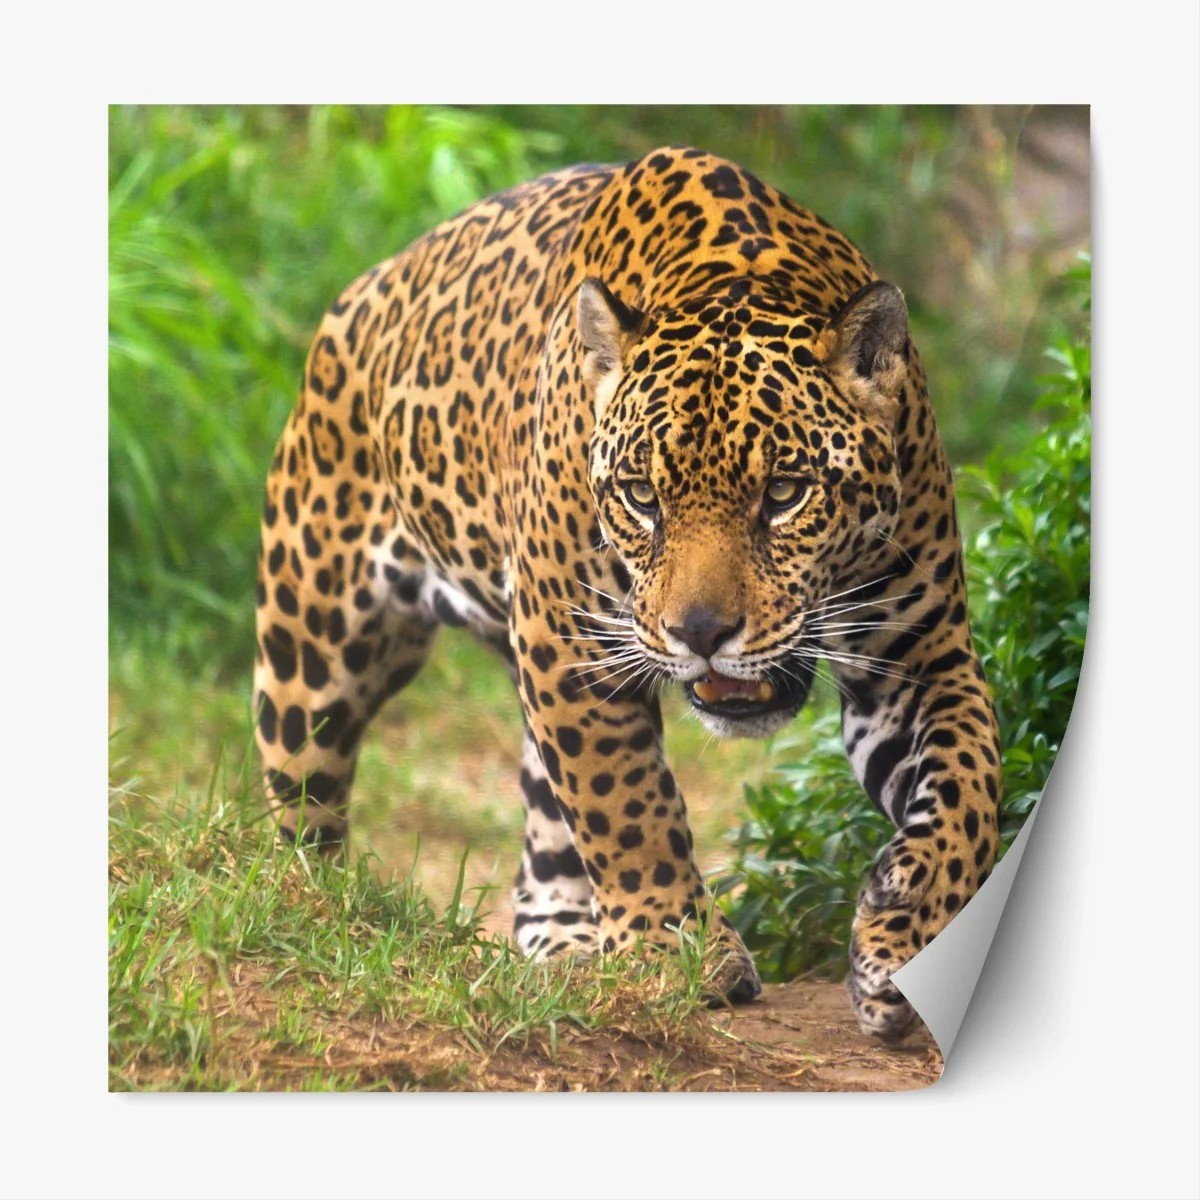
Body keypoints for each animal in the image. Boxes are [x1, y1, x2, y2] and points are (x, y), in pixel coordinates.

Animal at [253, 144, 1003, 1039]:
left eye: (785, 493)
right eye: (643, 496)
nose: (703, 632)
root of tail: (364, 290)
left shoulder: (920, 654)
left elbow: (970, 788)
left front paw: (905, 935)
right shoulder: (569, 639)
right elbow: (626, 801)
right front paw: (676, 950)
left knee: (546, 833)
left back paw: (569, 945)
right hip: (315, 645)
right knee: (302, 799)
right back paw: (309, 911)